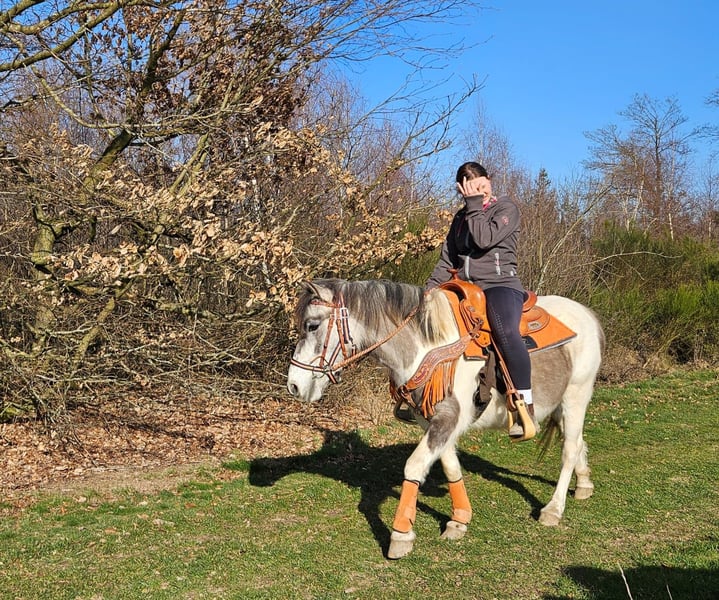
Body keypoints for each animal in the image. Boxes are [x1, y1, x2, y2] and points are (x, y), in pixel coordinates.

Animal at [286, 278, 604, 559]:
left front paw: (401, 534)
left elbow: (414, 466)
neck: (427, 347)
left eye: (312, 325)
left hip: (577, 395)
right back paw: (584, 484)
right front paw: (459, 519)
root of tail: (587, 315)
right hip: (562, 404)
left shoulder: (448, 418)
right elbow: (450, 465)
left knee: (569, 450)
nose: (294, 386)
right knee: (577, 443)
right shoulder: (431, 421)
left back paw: (553, 509)